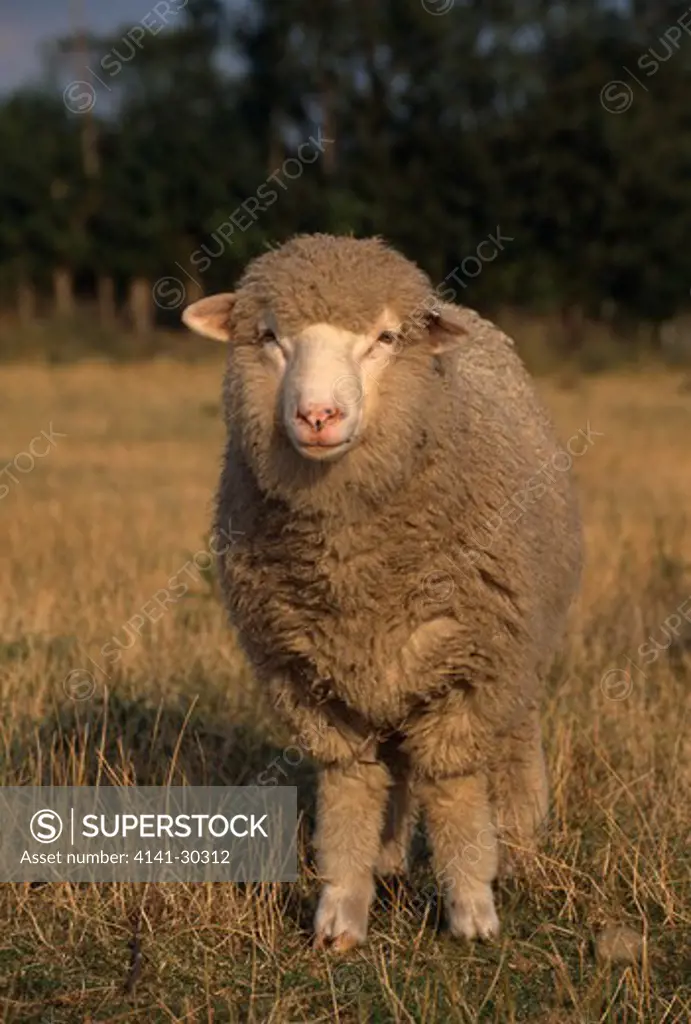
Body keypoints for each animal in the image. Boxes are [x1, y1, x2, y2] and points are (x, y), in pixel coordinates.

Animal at [181, 234, 581, 950]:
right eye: (270, 336)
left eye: (386, 338)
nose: (317, 415)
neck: (352, 566)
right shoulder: (313, 679)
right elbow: (349, 788)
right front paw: (340, 913)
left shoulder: (468, 669)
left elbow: (453, 788)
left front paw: (472, 910)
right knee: (390, 769)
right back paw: (389, 861)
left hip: (517, 655)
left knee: (511, 749)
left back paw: (520, 843)